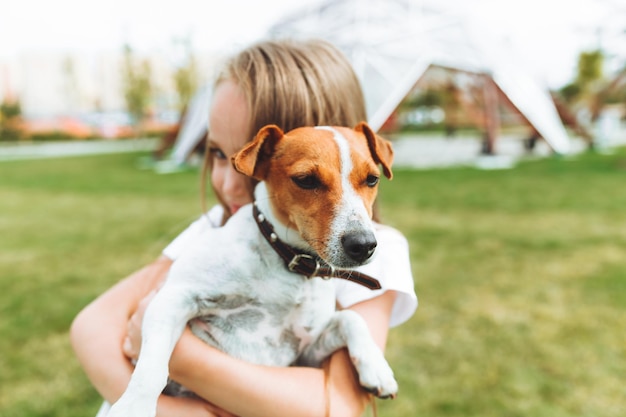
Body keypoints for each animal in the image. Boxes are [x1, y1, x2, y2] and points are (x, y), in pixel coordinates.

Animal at [105, 122, 392, 414]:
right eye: (306, 180)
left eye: (372, 179)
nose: (363, 245)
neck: (289, 263)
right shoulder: (175, 297)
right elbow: (152, 362)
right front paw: (134, 406)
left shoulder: (306, 350)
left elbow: (351, 318)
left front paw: (377, 368)